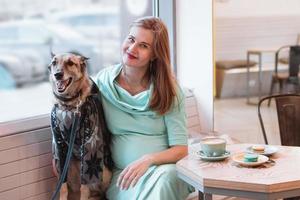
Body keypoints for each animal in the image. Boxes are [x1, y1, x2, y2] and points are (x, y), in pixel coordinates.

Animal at [49, 53, 112, 200]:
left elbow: (84, 185)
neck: (68, 106)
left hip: (102, 172)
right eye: (54, 62)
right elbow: (62, 186)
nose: (58, 74)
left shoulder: (90, 148)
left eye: (70, 63)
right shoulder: (60, 149)